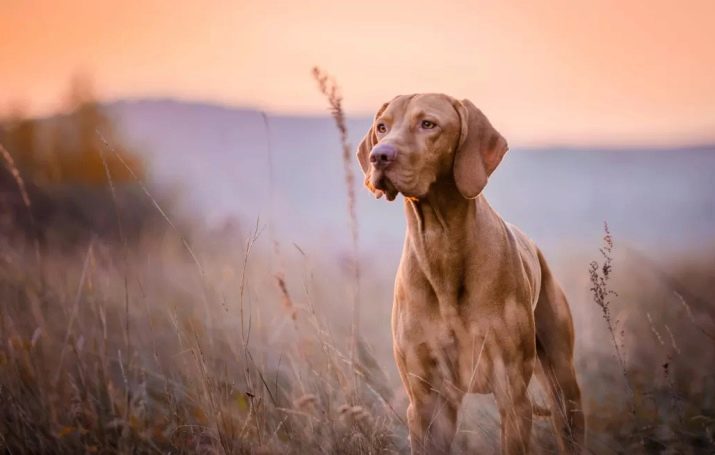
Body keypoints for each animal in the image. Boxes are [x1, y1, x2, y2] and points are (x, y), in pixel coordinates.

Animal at [358, 94, 588, 454]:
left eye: (428, 124)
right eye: (382, 127)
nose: (379, 155)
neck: (441, 245)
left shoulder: (512, 395)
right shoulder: (426, 403)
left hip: (564, 384)